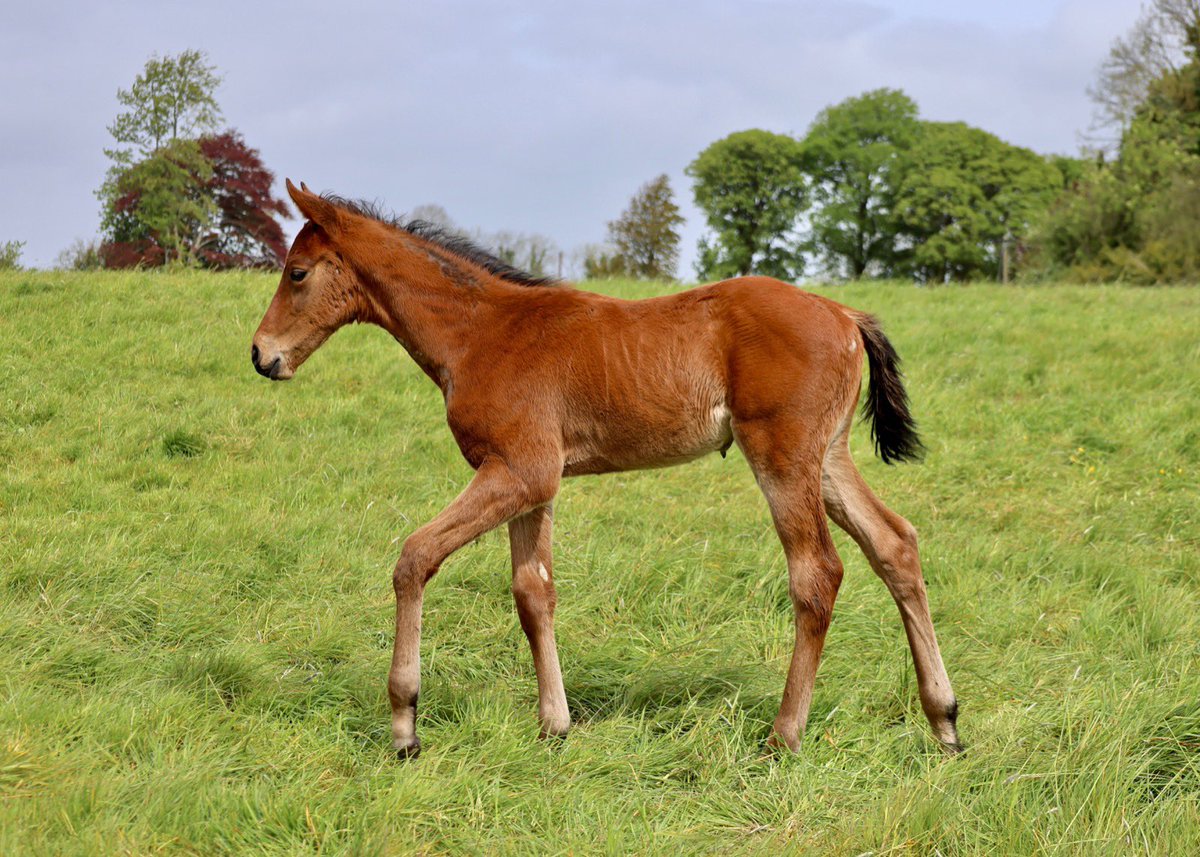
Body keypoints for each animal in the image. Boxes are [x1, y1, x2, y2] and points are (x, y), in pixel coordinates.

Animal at [251, 179, 961, 758]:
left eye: (297, 272)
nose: (262, 355)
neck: (480, 332)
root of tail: (844, 313)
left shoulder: (518, 472)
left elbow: (415, 556)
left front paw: (404, 725)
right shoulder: (534, 483)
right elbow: (533, 593)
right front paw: (554, 726)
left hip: (782, 456)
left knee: (817, 573)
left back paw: (784, 735)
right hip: (829, 458)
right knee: (895, 544)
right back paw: (945, 722)